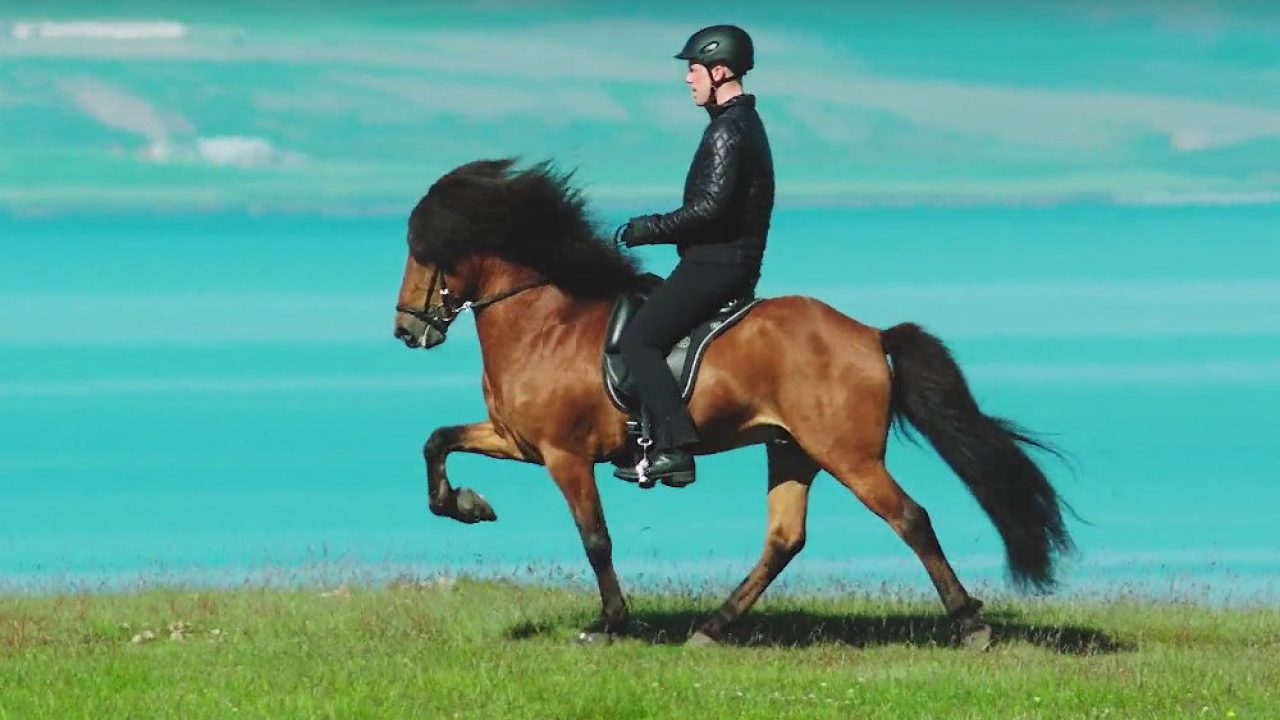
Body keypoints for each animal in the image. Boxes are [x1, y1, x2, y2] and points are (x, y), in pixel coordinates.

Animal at [392, 158, 1074, 646]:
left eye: (423, 252)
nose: (405, 330)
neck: (543, 323)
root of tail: (869, 335)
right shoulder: (517, 440)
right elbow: (436, 441)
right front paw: (467, 505)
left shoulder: (565, 455)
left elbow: (596, 539)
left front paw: (611, 624)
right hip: (793, 449)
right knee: (785, 539)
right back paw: (713, 628)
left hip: (848, 455)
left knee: (910, 518)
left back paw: (971, 624)